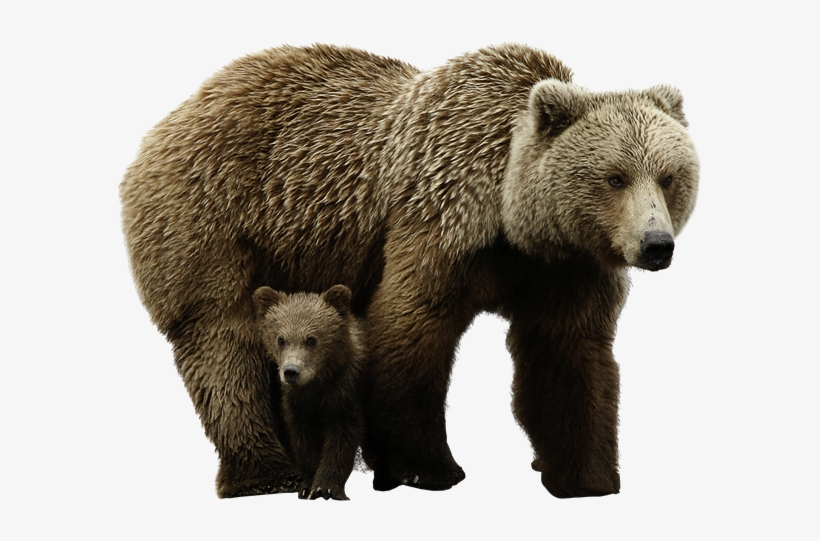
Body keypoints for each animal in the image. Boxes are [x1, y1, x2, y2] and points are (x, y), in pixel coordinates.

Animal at [252, 284, 365, 501]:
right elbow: (303, 441)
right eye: (281, 339)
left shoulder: (345, 394)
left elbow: (342, 439)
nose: (291, 371)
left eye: (311, 339)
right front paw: (307, 485)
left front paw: (325, 488)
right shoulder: (296, 405)